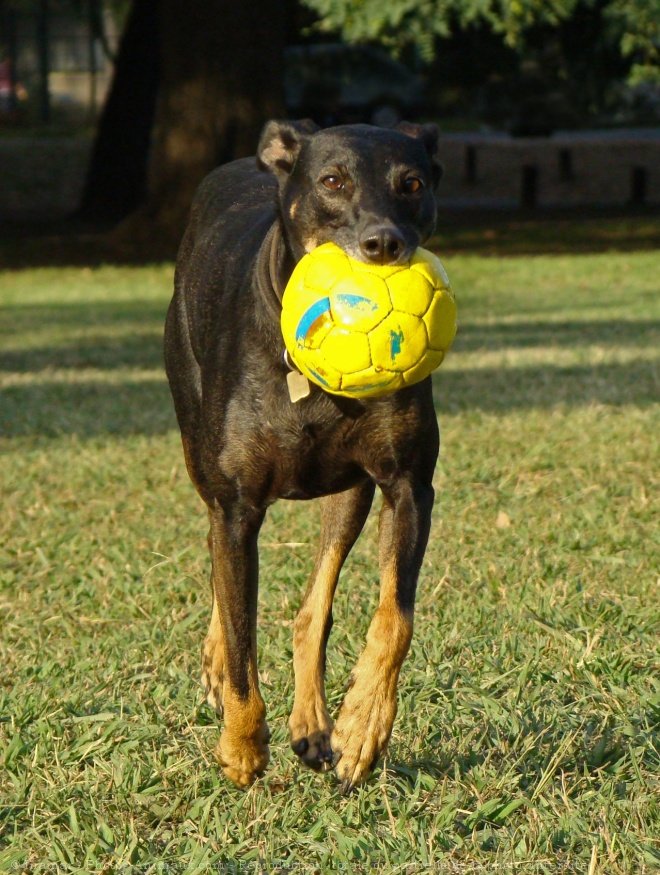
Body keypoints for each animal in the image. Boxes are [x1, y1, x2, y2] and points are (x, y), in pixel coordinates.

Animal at [164, 118, 444, 792]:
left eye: (413, 183)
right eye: (333, 181)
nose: (383, 242)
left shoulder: (408, 484)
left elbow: (395, 615)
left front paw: (363, 725)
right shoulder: (237, 506)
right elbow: (241, 630)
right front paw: (242, 744)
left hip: (350, 490)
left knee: (312, 608)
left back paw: (314, 725)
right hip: (195, 439)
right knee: (221, 569)